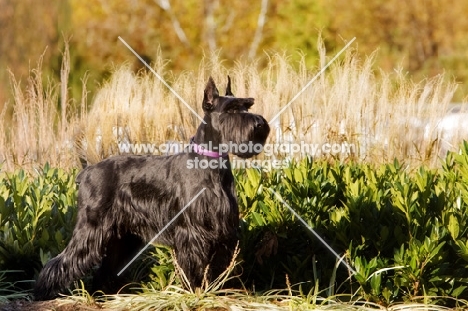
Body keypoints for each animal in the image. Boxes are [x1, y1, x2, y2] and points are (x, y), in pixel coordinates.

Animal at [33, 76, 270, 302]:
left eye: (247, 106)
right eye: (231, 109)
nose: (260, 124)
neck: (210, 163)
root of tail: (86, 172)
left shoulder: (223, 230)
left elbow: (218, 265)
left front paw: (216, 291)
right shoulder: (192, 233)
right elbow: (194, 265)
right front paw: (194, 291)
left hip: (123, 238)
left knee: (105, 270)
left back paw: (103, 295)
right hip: (90, 229)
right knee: (63, 260)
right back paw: (44, 292)